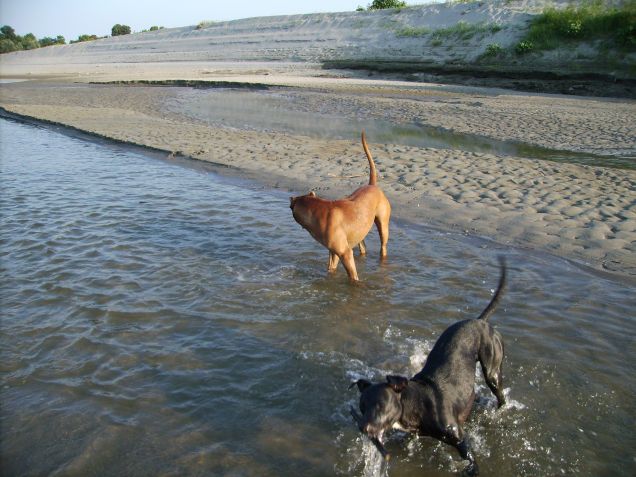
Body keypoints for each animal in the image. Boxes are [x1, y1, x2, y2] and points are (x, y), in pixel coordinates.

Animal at [290, 131, 390, 278]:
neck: (318, 210)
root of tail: (372, 185)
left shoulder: (345, 253)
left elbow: (353, 277)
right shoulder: (333, 253)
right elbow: (331, 269)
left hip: (383, 226)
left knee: (383, 246)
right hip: (360, 230)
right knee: (363, 246)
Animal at [348, 258, 506, 474]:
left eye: (380, 405)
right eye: (362, 407)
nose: (363, 427)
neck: (417, 402)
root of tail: (480, 320)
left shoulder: (459, 437)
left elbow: (471, 458)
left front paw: (472, 470)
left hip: (492, 370)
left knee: (499, 394)